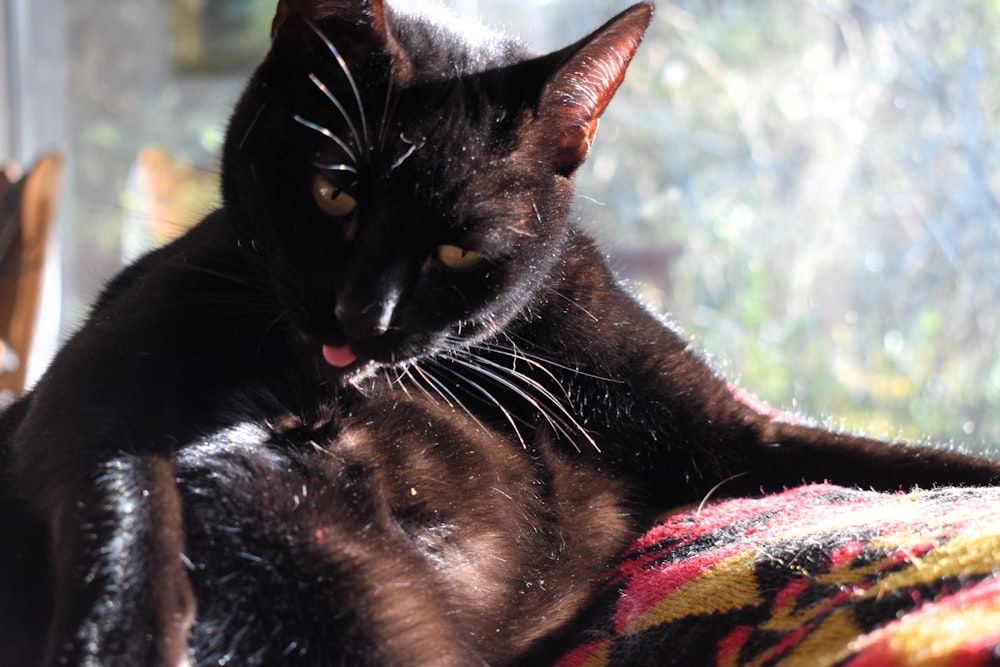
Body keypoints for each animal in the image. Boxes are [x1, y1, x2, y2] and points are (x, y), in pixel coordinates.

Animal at [1, 1, 1000, 667]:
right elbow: (119, 491)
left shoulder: (732, 429)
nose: (361, 316)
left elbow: (911, 461)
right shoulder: (106, 375)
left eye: (457, 246)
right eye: (334, 194)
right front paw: (119, 633)